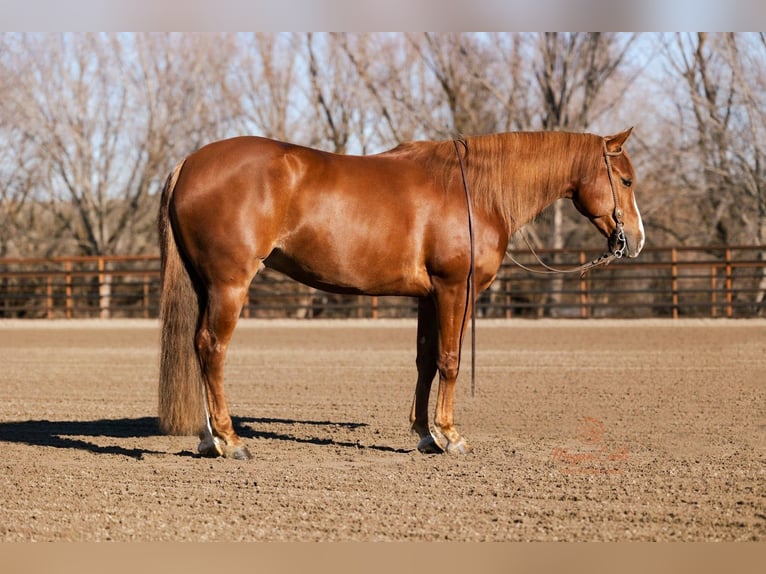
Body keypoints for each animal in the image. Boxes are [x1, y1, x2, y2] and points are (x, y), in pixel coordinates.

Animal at [157, 128, 644, 459]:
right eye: (625, 181)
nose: (635, 241)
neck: (474, 191)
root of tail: (189, 163)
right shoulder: (454, 289)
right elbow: (450, 360)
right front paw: (451, 436)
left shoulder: (429, 297)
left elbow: (426, 361)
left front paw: (426, 434)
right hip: (229, 285)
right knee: (213, 349)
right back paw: (230, 440)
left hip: (206, 286)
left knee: (196, 348)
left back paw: (208, 439)